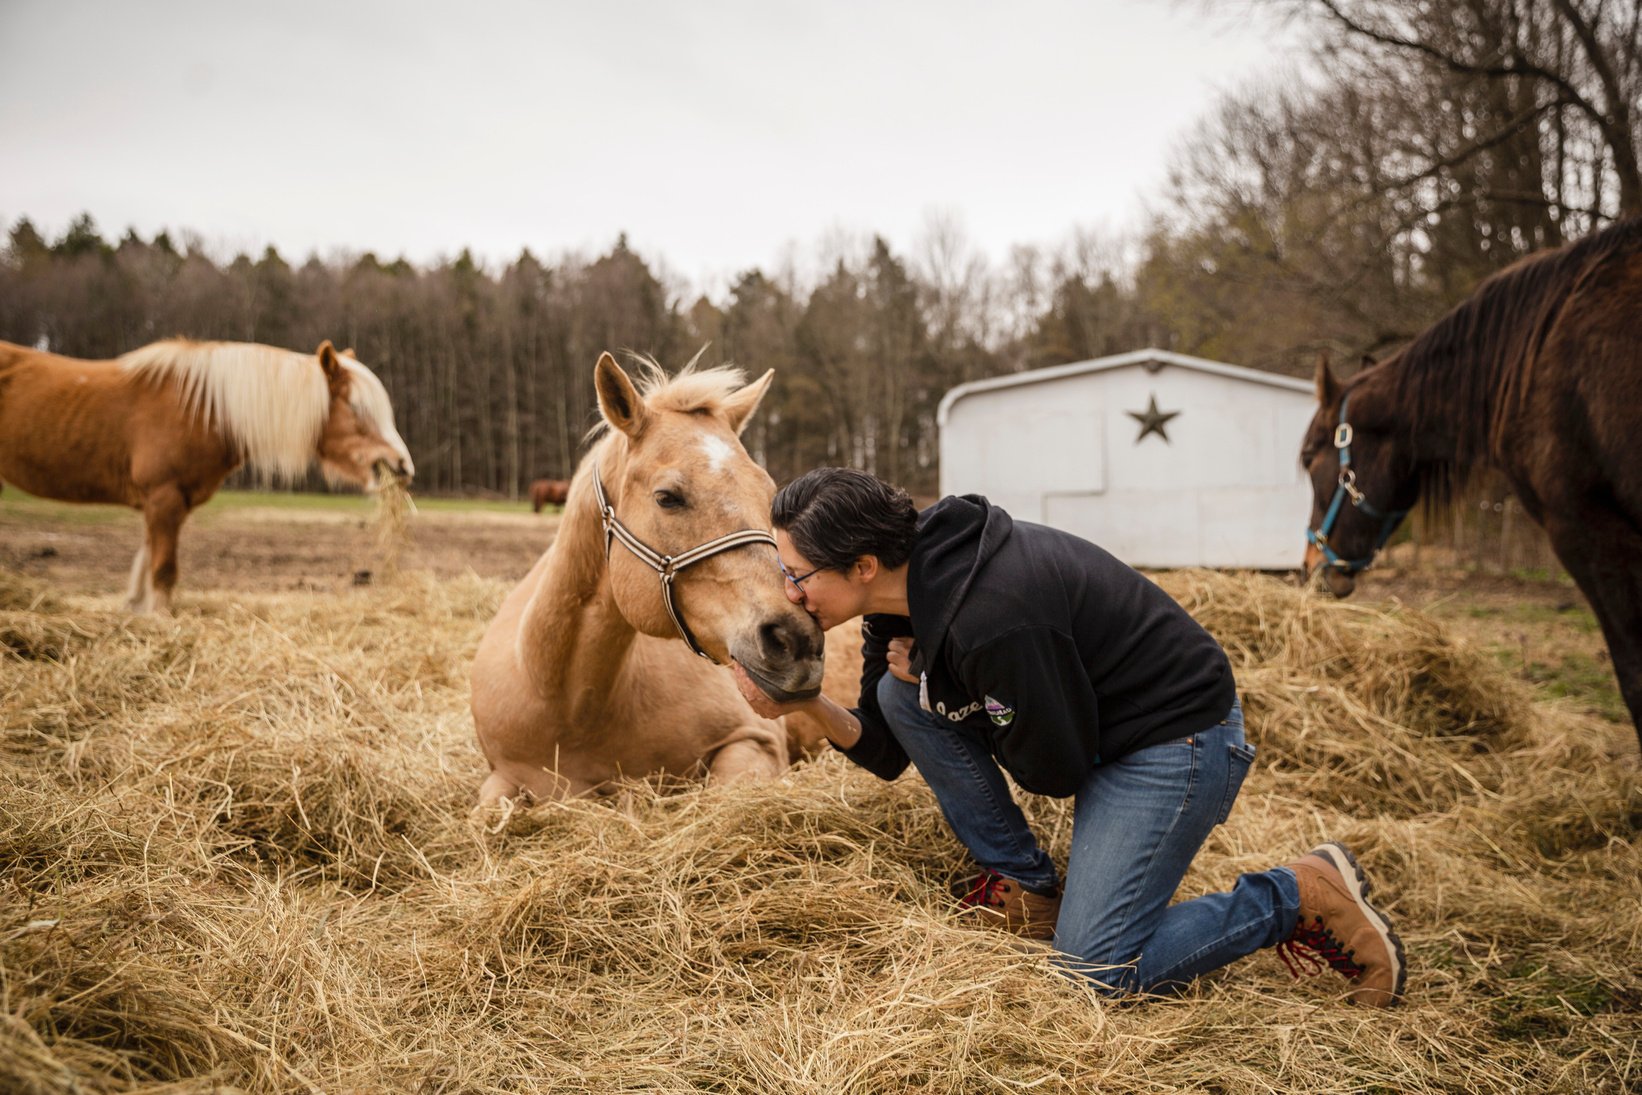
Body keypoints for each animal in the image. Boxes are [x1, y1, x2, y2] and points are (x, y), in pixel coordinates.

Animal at [0, 339, 410, 617]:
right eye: (355, 407)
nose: (402, 466)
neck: (203, 410)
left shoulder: (160, 505)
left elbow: (145, 567)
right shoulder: (163, 499)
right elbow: (163, 572)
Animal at [476, 351, 834, 804]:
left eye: (768, 493)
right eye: (667, 497)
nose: (796, 641)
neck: (568, 705)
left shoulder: (754, 742)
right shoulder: (503, 776)